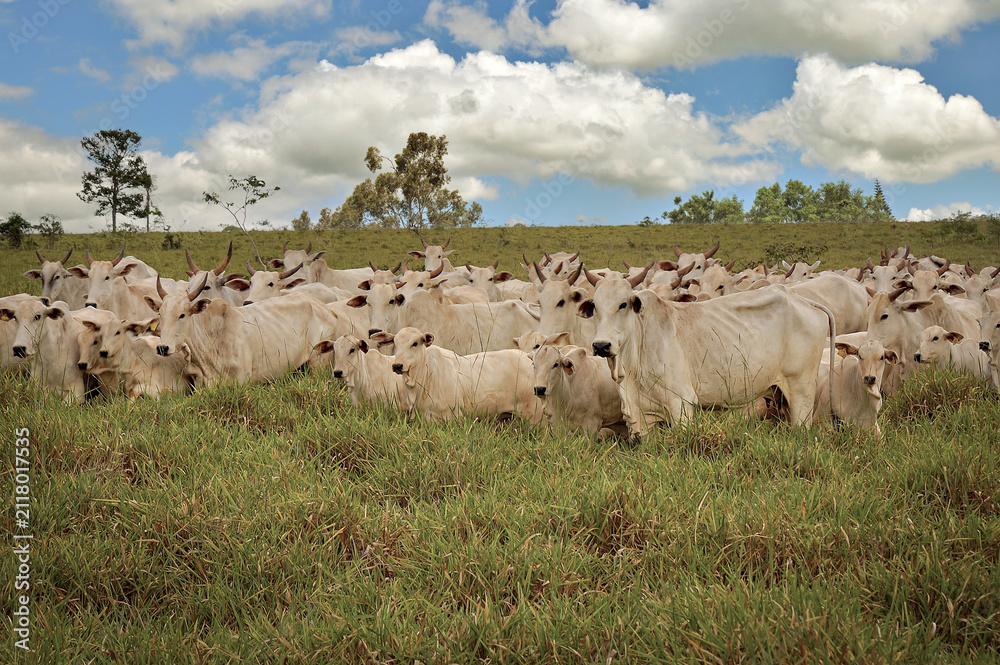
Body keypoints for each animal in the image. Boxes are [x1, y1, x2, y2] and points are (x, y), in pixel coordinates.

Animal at [578, 272, 835, 437]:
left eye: (623, 304)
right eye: (595, 307)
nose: (601, 345)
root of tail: (800, 299)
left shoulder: (681, 403)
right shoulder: (640, 415)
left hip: (801, 389)